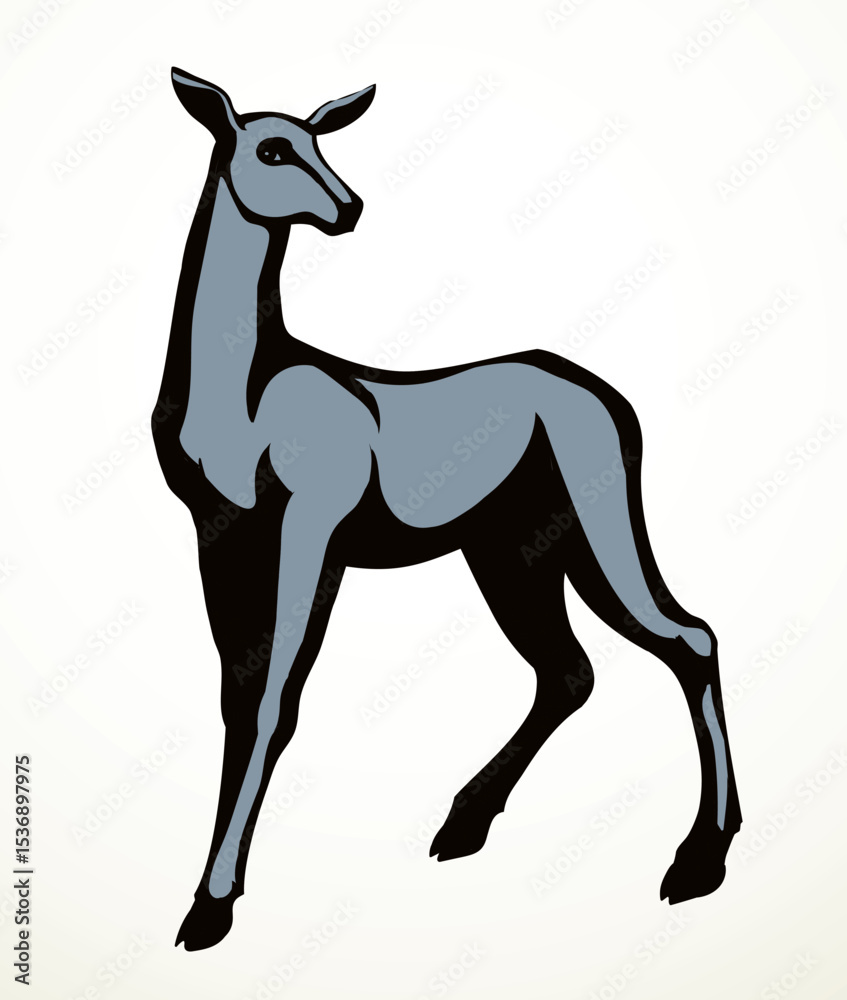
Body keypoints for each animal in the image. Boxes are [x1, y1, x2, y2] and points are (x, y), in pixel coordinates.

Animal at [153, 67, 742, 951]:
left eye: (320, 143)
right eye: (272, 149)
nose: (348, 206)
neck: (243, 397)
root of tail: (607, 398)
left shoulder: (312, 528)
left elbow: (273, 704)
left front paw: (211, 907)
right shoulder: (218, 537)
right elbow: (237, 696)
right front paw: (205, 900)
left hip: (597, 528)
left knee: (688, 638)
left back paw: (697, 863)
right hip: (512, 552)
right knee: (569, 669)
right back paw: (461, 825)